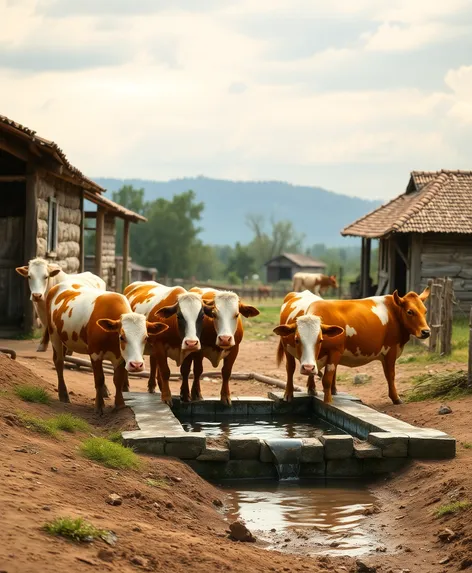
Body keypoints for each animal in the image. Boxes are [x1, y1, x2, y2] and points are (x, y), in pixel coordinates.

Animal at [46, 282, 168, 412]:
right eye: (122, 337)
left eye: (145, 337)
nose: (136, 365)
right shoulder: (95, 354)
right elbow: (99, 379)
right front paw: (99, 406)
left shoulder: (120, 358)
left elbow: (118, 380)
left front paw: (119, 404)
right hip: (54, 335)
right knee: (59, 362)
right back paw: (63, 394)